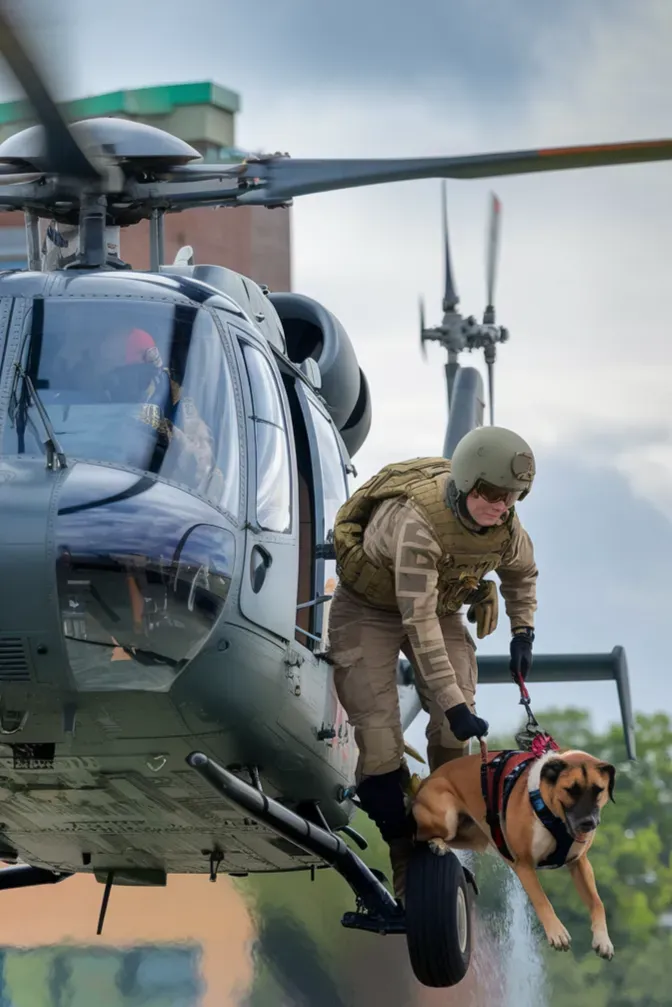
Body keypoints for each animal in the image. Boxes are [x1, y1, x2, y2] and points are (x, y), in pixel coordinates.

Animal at [411, 749, 616, 958]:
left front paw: (603, 940)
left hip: (473, 835)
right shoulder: (524, 865)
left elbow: (597, 902)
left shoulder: (579, 863)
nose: (588, 823)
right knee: (417, 835)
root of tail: (425, 781)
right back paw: (437, 843)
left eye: (599, 790)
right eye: (571, 790)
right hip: (446, 816)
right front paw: (557, 933)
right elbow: (542, 900)